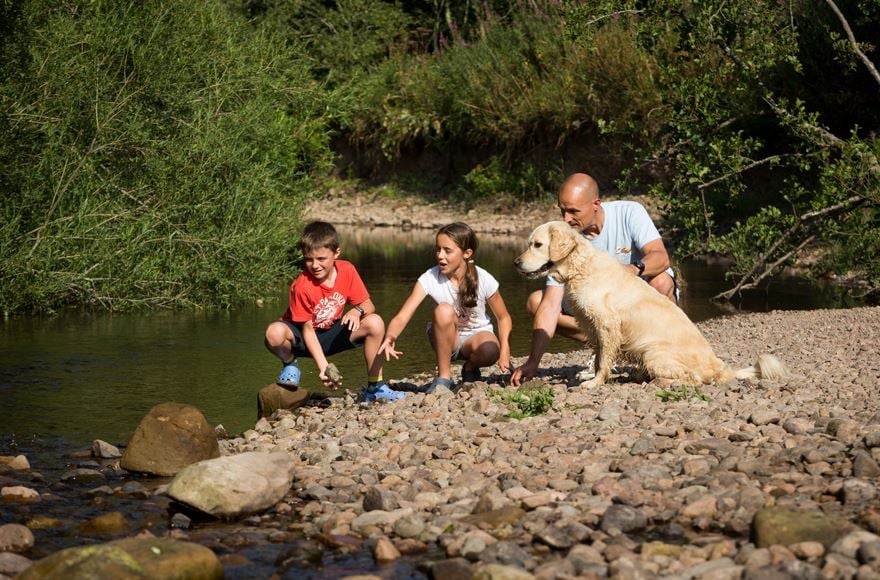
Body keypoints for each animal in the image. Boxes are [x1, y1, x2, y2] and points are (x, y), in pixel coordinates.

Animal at [512, 222, 788, 390]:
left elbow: (604, 359)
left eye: (537, 244)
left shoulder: (608, 324)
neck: (581, 268)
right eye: (530, 243)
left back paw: (660, 381)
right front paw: (592, 375)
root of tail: (717, 366)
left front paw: (595, 382)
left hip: (654, 353)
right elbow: (600, 355)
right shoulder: (593, 326)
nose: (515, 263)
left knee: (693, 379)